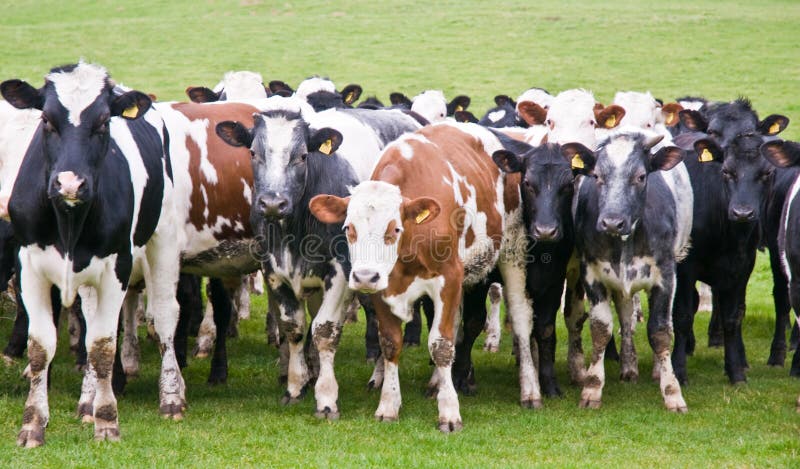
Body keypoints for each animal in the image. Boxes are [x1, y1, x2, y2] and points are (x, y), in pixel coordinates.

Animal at [1, 60, 184, 444]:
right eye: (46, 120)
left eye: (102, 122)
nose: (70, 183)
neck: (68, 220)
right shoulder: (29, 266)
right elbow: (42, 347)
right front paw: (33, 424)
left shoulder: (117, 266)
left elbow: (102, 345)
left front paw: (107, 421)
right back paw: (87, 399)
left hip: (164, 236)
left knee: (164, 316)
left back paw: (171, 397)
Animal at [310, 121, 540, 432]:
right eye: (348, 228)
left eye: (394, 229)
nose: (365, 276)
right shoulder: (383, 286)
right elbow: (391, 342)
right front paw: (389, 404)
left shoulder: (449, 278)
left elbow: (441, 345)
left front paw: (449, 412)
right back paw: (436, 384)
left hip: (513, 251)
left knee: (520, 318)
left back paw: (530, 389)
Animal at [572, 130, 692, 412]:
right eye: (597, 176)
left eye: (640, 176)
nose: (612, 222)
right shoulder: (592, 274)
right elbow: (601, 329)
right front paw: (592, 388)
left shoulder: (666, 276)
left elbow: (660, 331)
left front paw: (672, 392)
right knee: (626, 319)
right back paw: (629, 366)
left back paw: (658, 369)